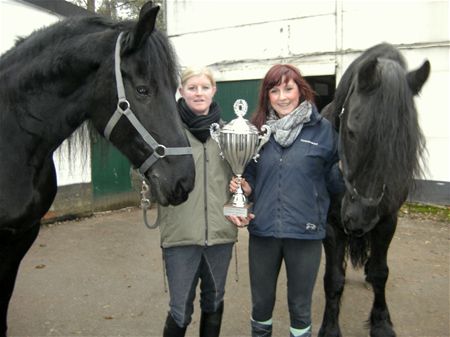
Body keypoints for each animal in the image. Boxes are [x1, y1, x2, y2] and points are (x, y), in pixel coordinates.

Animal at [318, 42, 430, 336]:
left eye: (406, 139)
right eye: (352, 131)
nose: (359, 219)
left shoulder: (387, 220)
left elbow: (381, 273)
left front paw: (381, 322)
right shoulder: (331, 223)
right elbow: (333, 278)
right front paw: (330, 327)